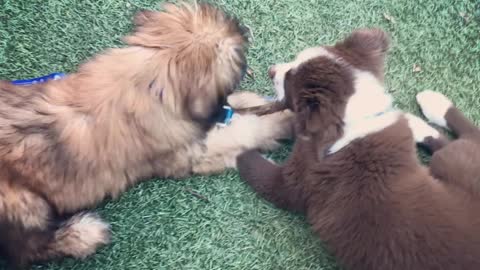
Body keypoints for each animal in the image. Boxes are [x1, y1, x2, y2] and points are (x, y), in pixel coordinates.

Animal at [0, 2, 292, 268]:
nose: (245, 29)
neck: (150, 82)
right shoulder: (187, 152)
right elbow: (241, 130)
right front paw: (282, 121)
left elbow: (239, 109)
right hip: (20, 201)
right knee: (28, 248)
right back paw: (85, 234)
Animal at [238, 28, 480, 270]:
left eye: (289, 79)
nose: (271, 70)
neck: (357, 119)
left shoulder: (297, 181)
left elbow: (257, 169)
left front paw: (236, 140)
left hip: (450, 160)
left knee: (467, 138)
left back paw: (434, 105)